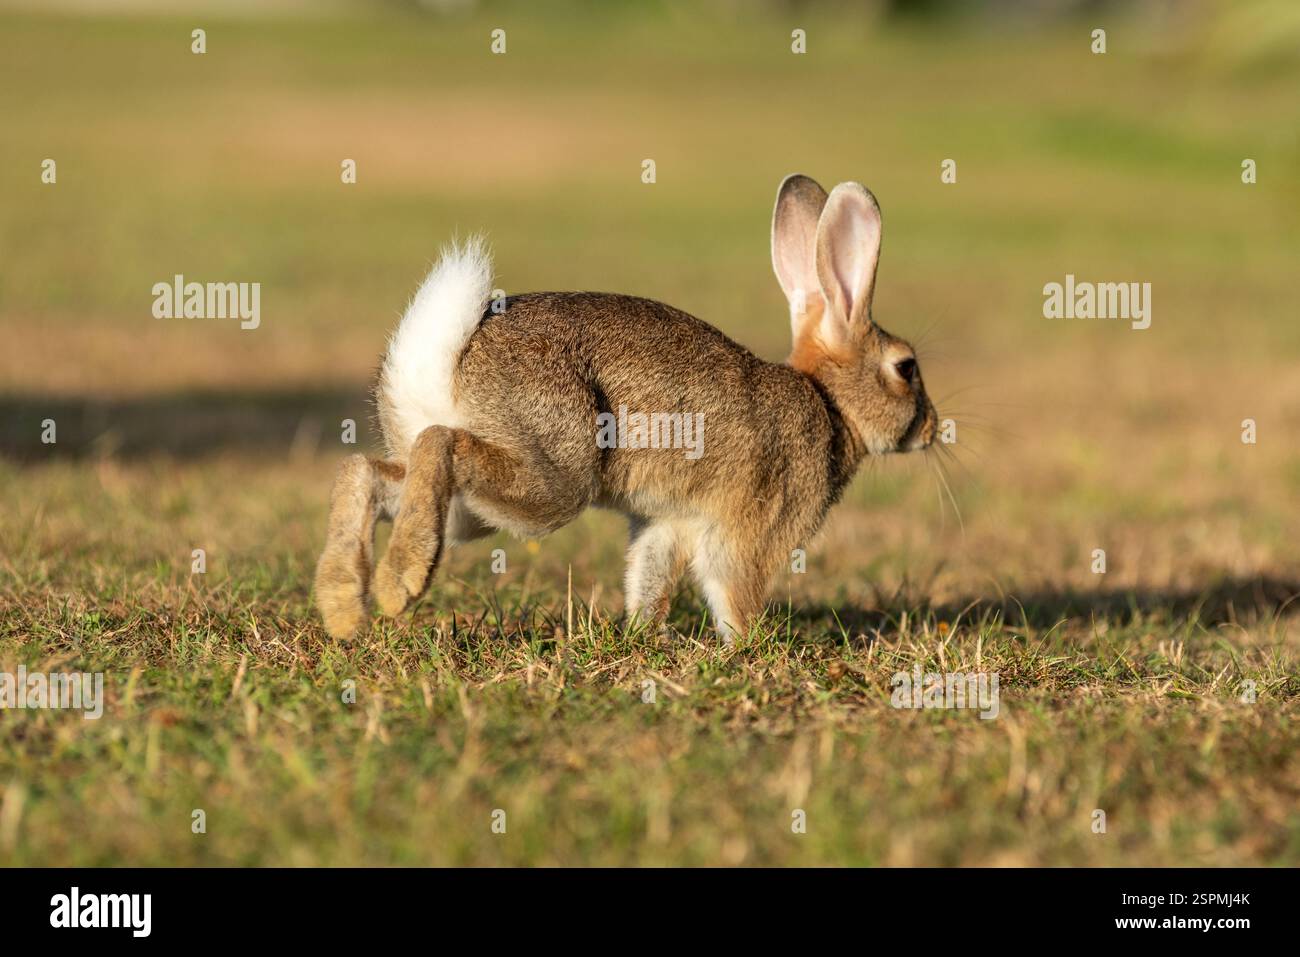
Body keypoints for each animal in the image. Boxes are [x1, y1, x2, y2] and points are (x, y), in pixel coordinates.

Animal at [314, 174, 938, 642]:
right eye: (906, 368)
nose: (932, 429)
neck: (831, 406)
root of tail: (448, 357)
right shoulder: (758, 523)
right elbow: (733, 586)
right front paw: (746, 644)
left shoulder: (669, 523)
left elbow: (650, 576)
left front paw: (645, 636)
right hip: (554, 477)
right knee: (438, 442)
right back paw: (398, 585)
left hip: (471, 512)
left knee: (364, 471)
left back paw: (342, 607)